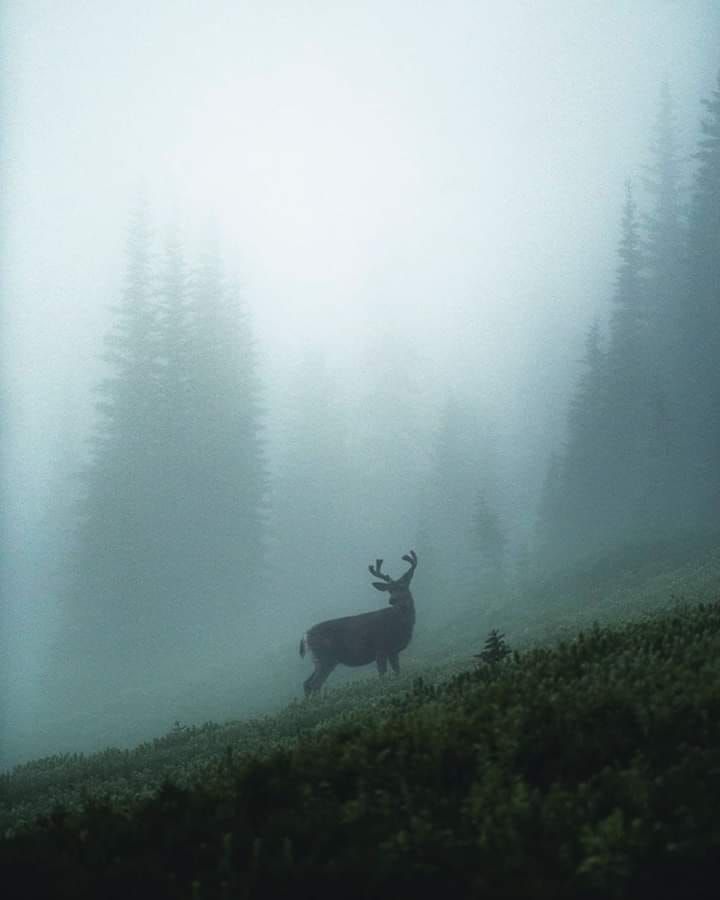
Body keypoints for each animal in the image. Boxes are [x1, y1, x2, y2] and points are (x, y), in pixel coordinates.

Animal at [298, 548, 420, 696]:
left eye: (402, 586)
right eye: (390, 590)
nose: (392, 600)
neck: (399, 623)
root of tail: (305, 636)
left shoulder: (393, 651)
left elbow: (397, 672)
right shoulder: (380, 648)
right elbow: (382, 674)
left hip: (322, 660)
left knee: (307, 683)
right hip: (325, 657)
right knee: (314, 684)